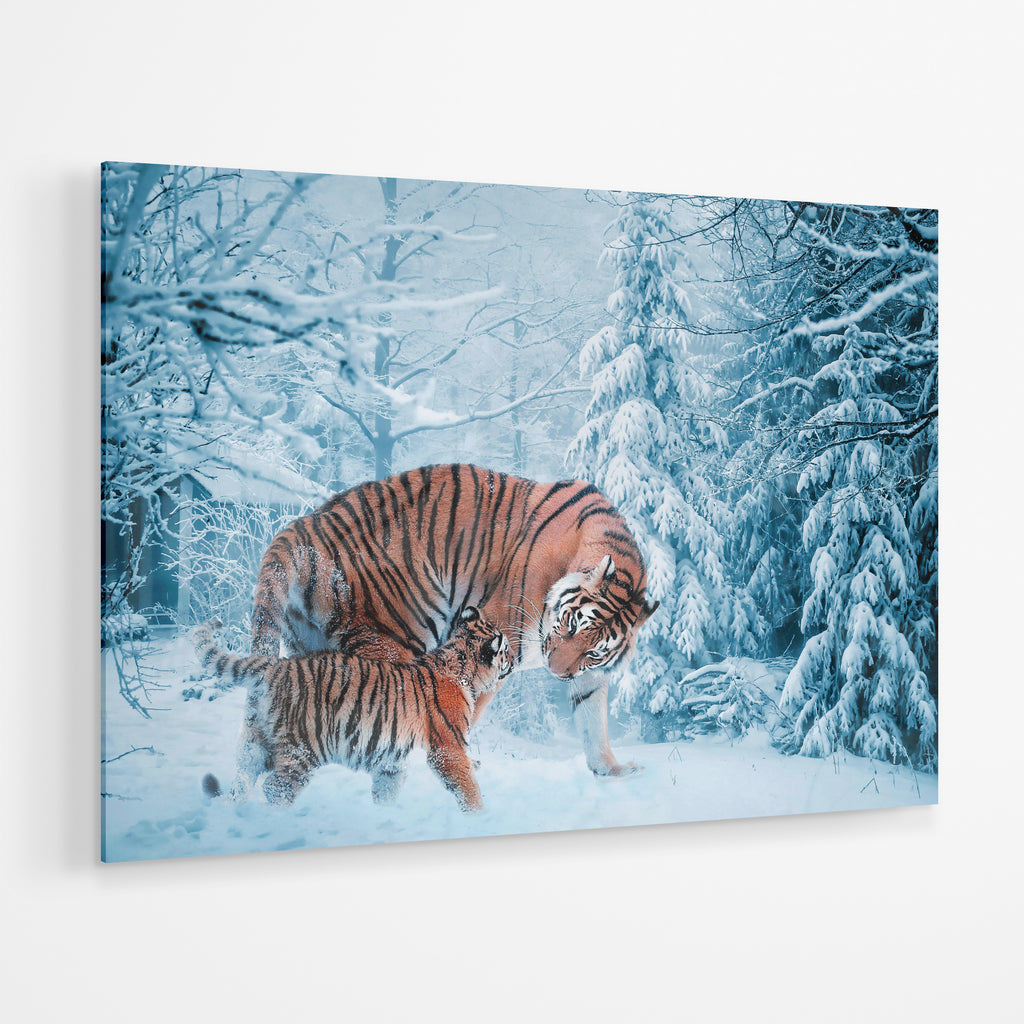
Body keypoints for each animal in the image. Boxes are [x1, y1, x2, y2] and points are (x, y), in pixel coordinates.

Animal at [192, 607, 513, 812]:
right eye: (506, 650)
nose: (514, 659)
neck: (461, 666)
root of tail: (277, 666)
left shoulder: (391, 758)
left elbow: (387, 789)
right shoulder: (448, 748)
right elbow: (468, 787)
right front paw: (480, 817)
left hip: (256, 741)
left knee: (243, 777)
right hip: (303, 748)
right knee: (276, 788)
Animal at [250, 464, 659, 787]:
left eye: (594, 651)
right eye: (571, 625)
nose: (556, 672)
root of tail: (302, 528)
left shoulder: (589, 673)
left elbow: (593, 720)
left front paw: (611, 770)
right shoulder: (498, 637)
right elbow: (466, 706)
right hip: (393, 636)